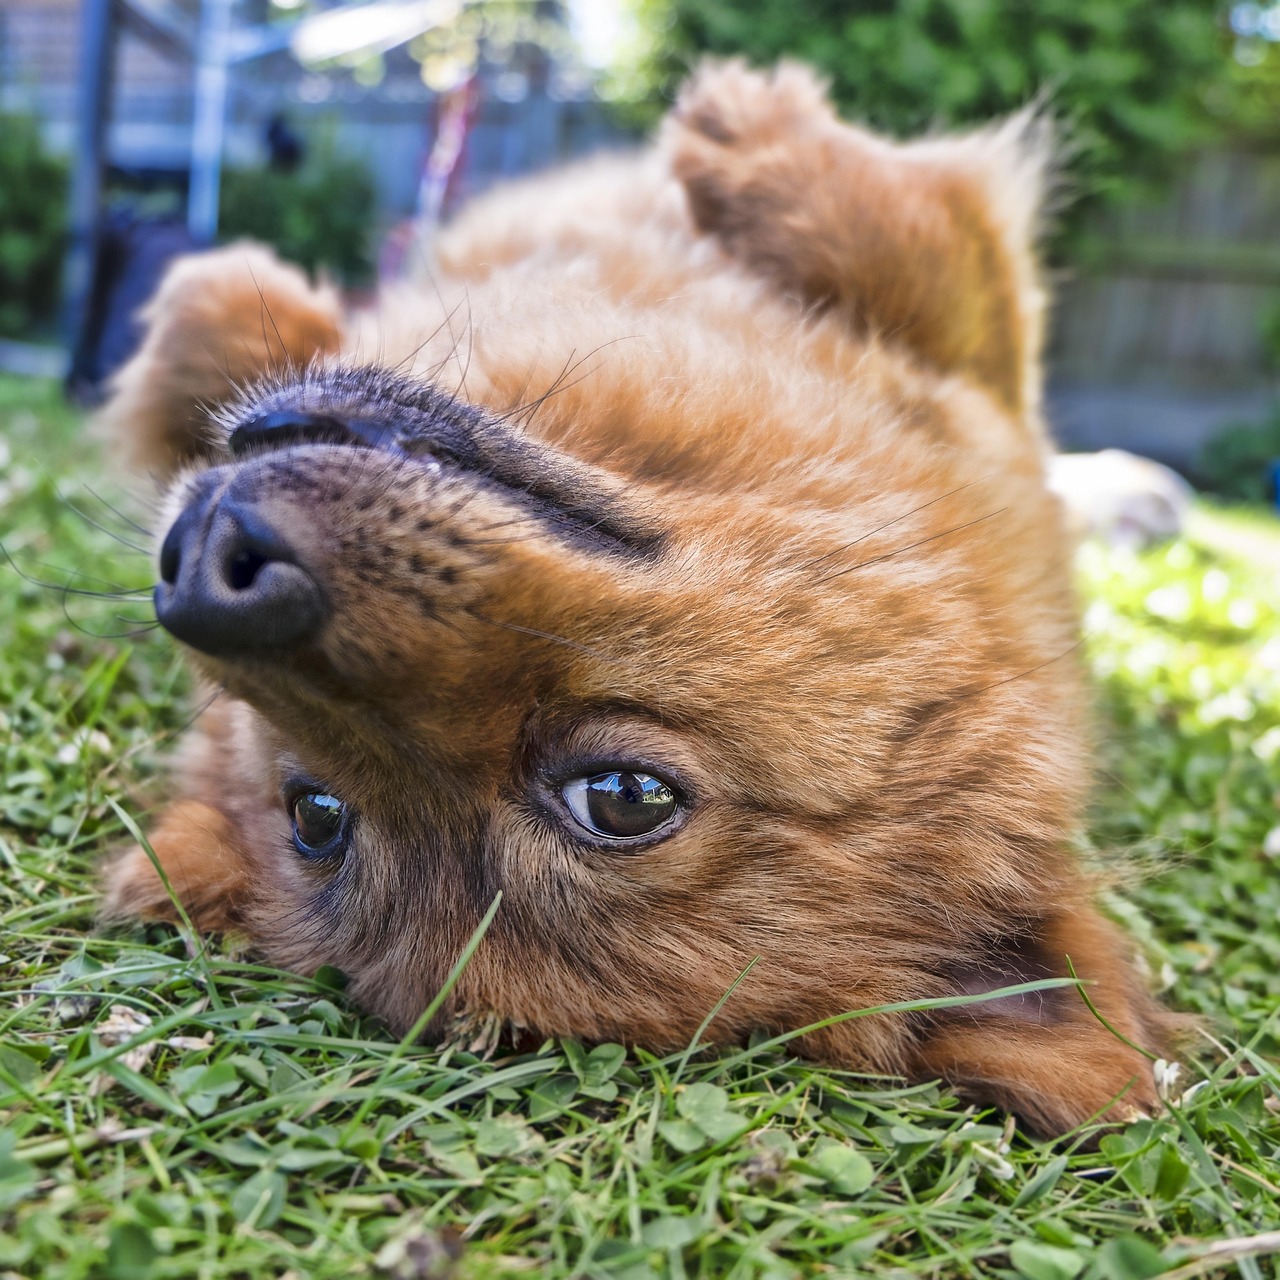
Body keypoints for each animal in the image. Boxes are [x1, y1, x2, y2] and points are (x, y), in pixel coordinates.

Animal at [99, 64, 1177, 1136]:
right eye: (317, 815)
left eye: (622, 796)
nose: (213, 574)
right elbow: (202, 317)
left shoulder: (978, 385)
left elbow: (925, 249)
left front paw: (751, 129)